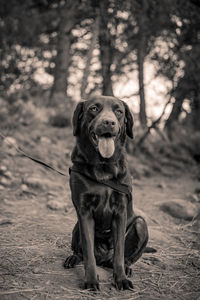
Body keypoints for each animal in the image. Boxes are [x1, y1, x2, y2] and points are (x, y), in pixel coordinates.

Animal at [64, 95, 148, 290]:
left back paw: (127, 268)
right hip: (76, 226)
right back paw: (73, 258)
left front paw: (121, 279)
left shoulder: (120, 211)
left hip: (141, 224)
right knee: (81, 252)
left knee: (126, 257)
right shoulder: (84, 212)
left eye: (118, 111)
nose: (109, 122)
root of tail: (104, 259)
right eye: (94, 108)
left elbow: (119, 252)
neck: (103, 167)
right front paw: (91, 280)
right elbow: (88, 251)